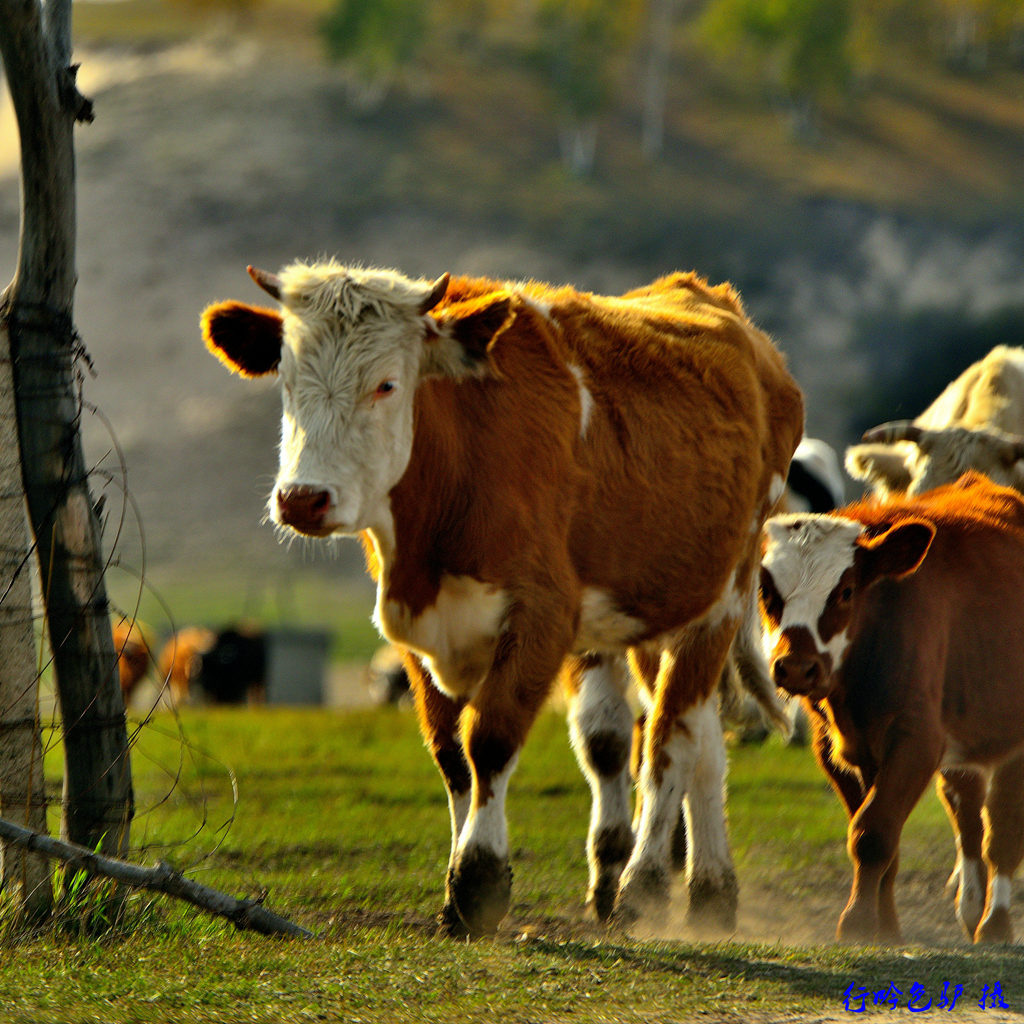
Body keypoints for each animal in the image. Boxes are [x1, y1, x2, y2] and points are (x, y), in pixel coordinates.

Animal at [201, 258, 806, 937]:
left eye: (386, 385)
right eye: (285, 379)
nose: (303, 499)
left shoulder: (541, 615)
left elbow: (489, 741)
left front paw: (479, 883)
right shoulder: (416, 634)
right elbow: (452, 756)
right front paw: (458, 887)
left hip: (722, 598)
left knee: (670, 741)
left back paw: (646, 884)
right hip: (648, 612)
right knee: (675, 740)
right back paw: (703, 892)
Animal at [761, 471, 1024, 942]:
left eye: (846, 591)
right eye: (768, 592)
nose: (795, 668)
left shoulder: (917, 739)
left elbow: (874, 833)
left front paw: (858, 923)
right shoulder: (843, 751)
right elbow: (882, 836)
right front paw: (886, 927)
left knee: (1003, 833)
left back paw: (995, 923)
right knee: (969, 817)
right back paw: (972, 906)